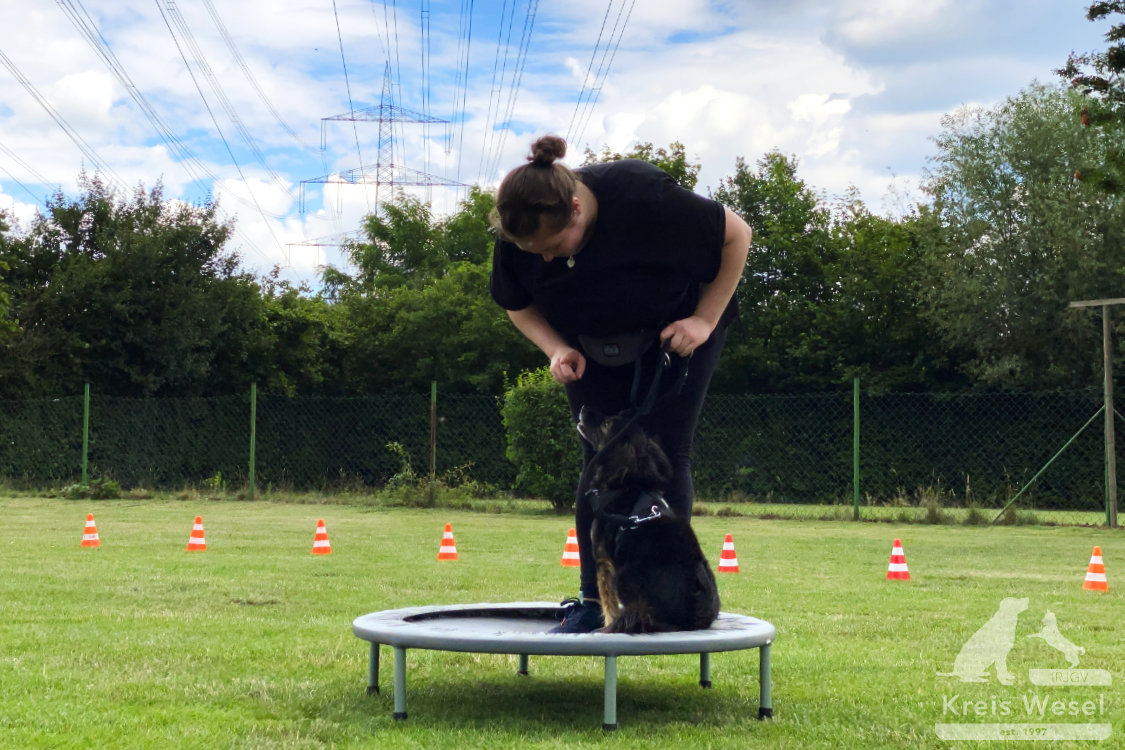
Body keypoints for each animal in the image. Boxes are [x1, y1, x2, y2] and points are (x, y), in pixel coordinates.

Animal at [576, 404, 724, 634]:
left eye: (607, 424)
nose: (584, 408)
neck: (629, 483)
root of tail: (695, 615)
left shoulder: (603, 560)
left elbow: (608, 604)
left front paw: (606, 625)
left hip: (625, 575)